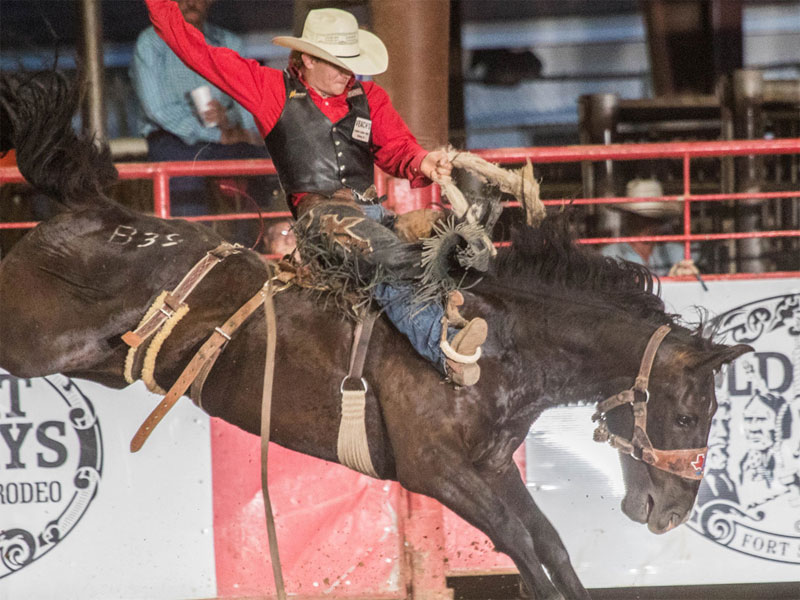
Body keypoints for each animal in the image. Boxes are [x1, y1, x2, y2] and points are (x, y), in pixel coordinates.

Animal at [0, 72, 752, 596]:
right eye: (689, 414)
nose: (669, 513)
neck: (502, 345)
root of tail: (91, 209)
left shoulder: (493, 466)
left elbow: (551, 547)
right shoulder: (438, 471)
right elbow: (526, 552)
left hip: (98, 361)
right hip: (29, 338)